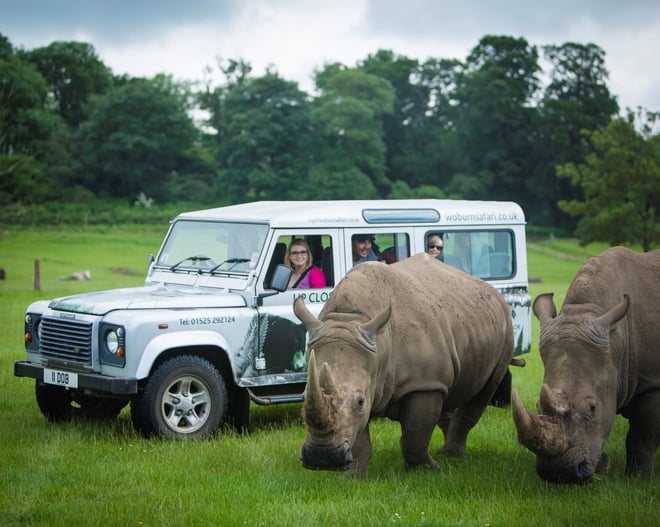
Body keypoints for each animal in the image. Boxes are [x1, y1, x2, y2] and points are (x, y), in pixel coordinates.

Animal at [293, 253, 514, 478]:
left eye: (360, 402)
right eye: (302, 397)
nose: (321, 458)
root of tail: (492, 291)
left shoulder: (425, 384)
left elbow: (415, 434)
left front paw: (426, 470)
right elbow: (359, 438)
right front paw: (352, 478)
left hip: (506, 328)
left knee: (486, 389)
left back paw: (452, 457)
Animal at [512, 246, 660, 483]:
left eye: (593, 408)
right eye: (536, 405)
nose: (558, 473)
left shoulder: (653, 381)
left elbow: (642, 437)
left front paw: (639, 479)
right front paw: (602, 468)